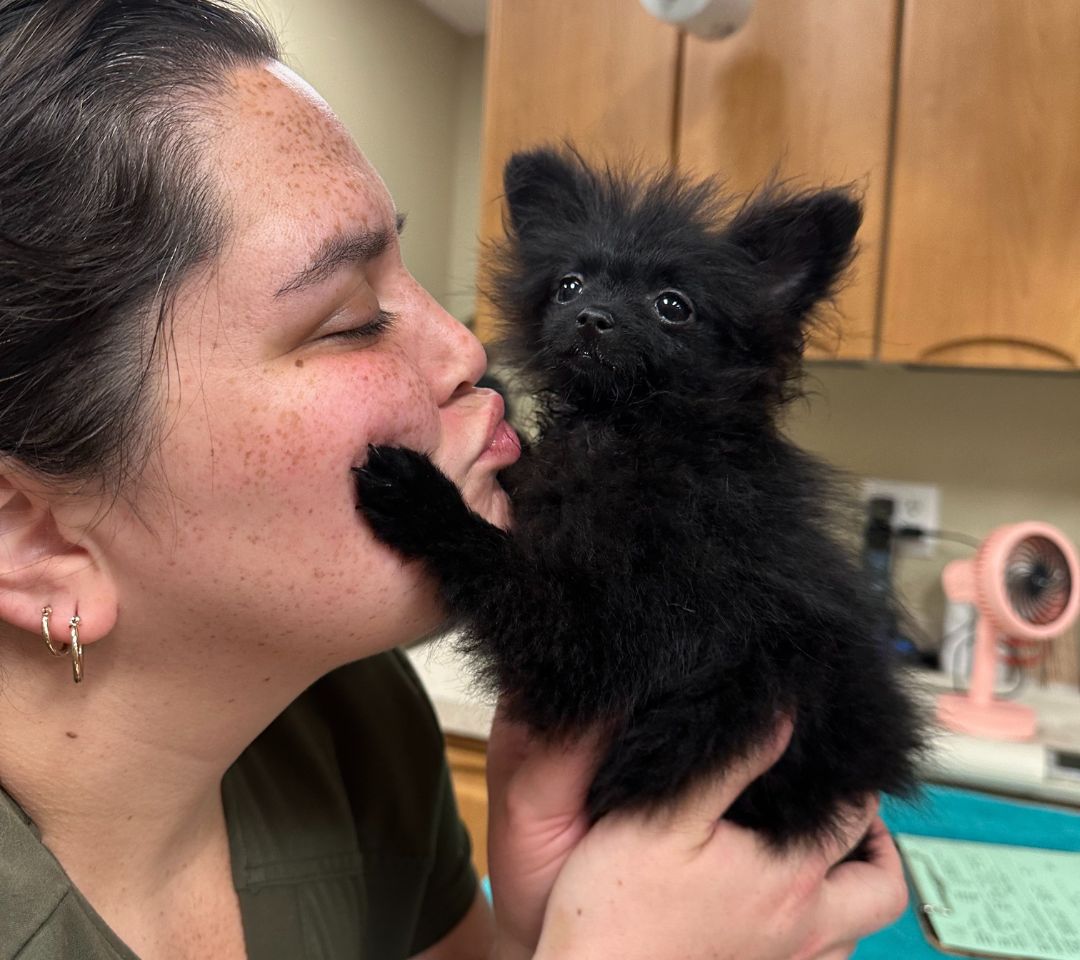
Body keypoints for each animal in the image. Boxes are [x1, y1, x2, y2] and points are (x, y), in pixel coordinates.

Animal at [354, 145, 920, 842]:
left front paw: (424, 499)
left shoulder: (611, 634)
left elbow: (504, 566)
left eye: (673, 305)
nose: (592, 317)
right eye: (569, 286)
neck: (628, 432)